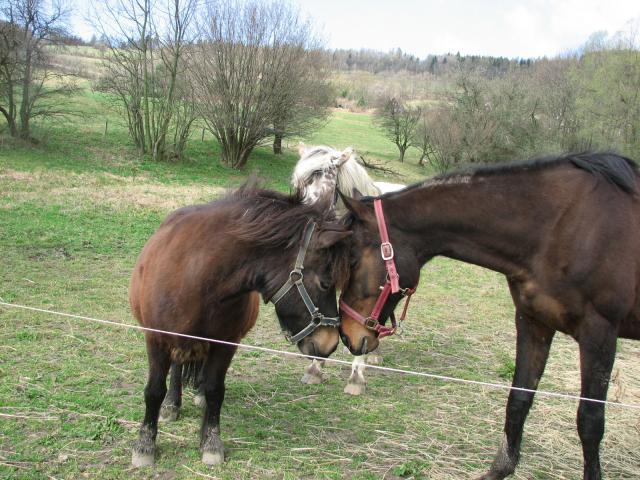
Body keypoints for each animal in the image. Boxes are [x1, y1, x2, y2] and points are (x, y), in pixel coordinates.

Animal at [129, 184, 351, 467]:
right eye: (325, 283)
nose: (330, 343)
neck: (198, 277)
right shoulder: (157, 339)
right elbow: (154, 390)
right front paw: (145, 445)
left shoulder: (225, 344)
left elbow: (215, 390)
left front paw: (211, 443)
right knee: (177, 367)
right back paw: (172, 404)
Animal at [338, 152, 640, 479]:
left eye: (352, 259)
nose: (346, 334)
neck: (560, 227)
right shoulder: (534, 323)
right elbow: (519, 399)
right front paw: (499, 469)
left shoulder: (599, 334)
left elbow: (590, 421)